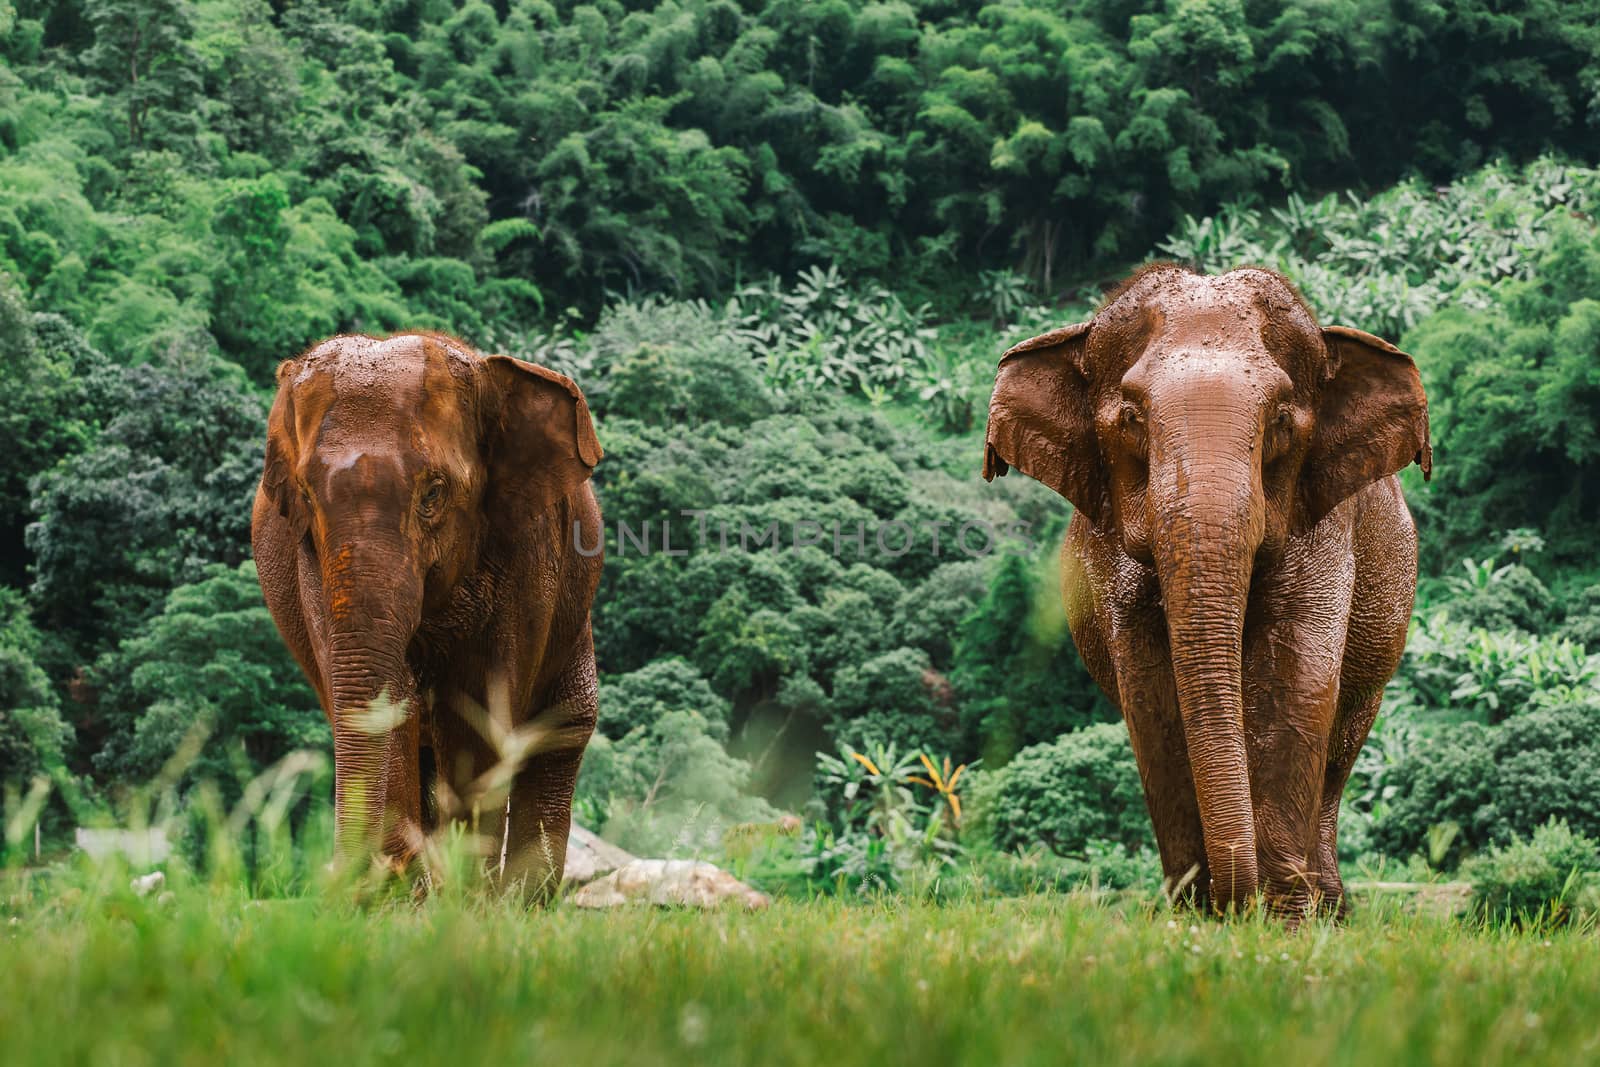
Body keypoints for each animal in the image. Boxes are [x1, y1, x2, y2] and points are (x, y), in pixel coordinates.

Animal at [249, 329, 604, 895]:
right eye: (305, 494)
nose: (351, 885)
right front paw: (406, 898)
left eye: (433, 493)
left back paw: (519, 902)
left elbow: (477, 713)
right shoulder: (310, 563)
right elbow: (393, 707)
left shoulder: (526, 551)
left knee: (562, 729)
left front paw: (462, 898)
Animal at [979, 265, 1433, 921]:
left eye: (1281, 420)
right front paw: (1199, 917)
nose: (1235, 905)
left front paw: (1284, 923)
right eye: (1132, 417)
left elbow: (1296, 673)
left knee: (1338, 750)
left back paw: (1329, 911)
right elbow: (1150, 692)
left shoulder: (1324, 523)